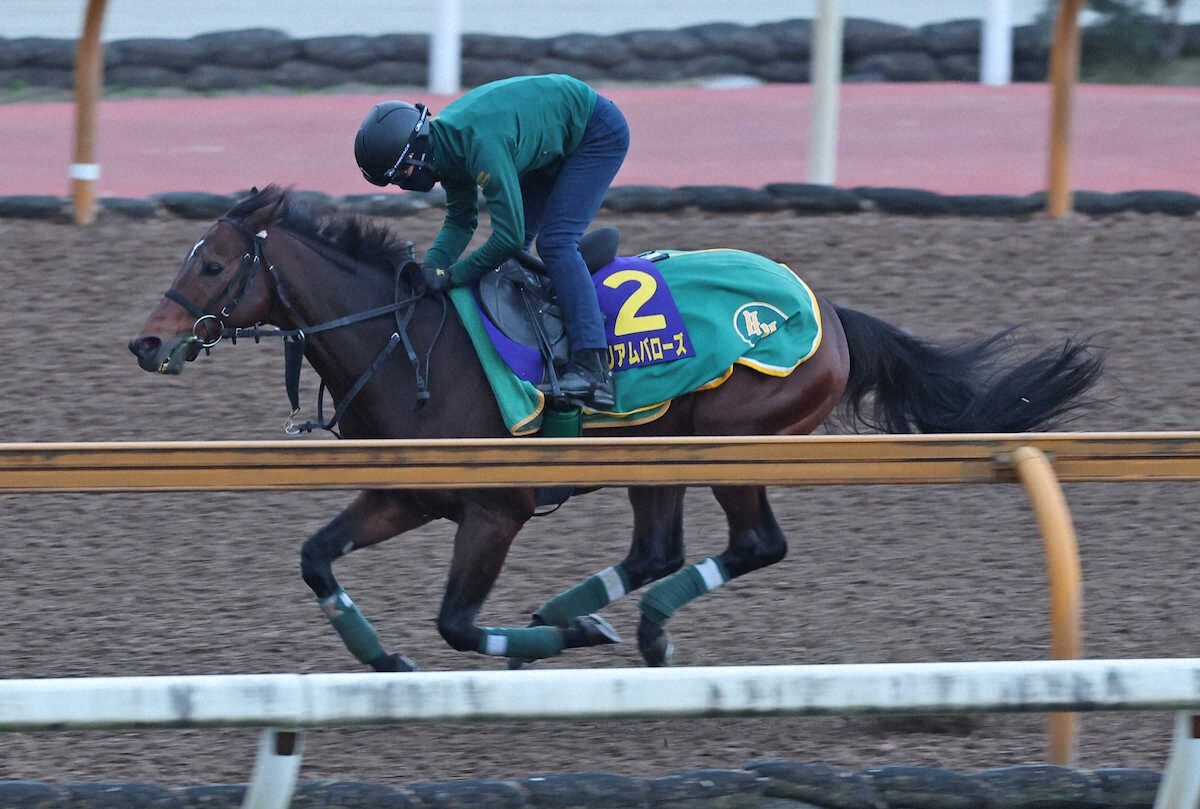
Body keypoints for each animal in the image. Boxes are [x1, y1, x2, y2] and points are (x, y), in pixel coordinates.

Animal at [128, 186, 1103, 672]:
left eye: (212, 264)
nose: (147, 341)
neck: (407, 343)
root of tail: (827, 310)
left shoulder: (496, 509)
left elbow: (457, 622)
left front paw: (540, 644)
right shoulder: (408, 492)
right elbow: (316, 558)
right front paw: (383, 657)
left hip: (729, 437)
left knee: (753, 544)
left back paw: (629, 627)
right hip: (653, 450)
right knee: (656, 550)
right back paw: (590, 613)